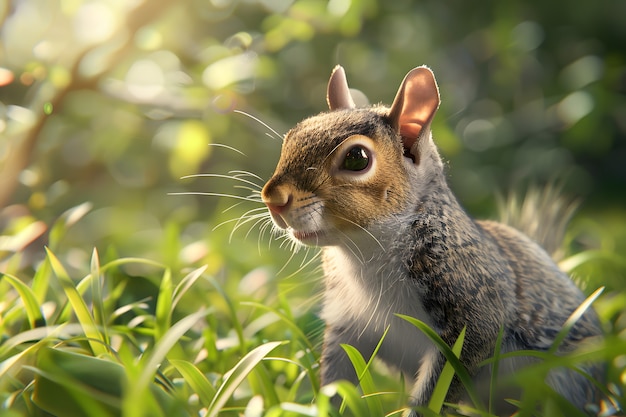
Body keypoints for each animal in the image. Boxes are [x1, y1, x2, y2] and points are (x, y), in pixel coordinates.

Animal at [258, 65, 600, 412]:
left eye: (357, 158)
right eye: (292, 137)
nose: (273, 199)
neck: (365, 252)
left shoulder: (473, 312)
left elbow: (441, 387)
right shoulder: (346, 321)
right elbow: (337, 382)